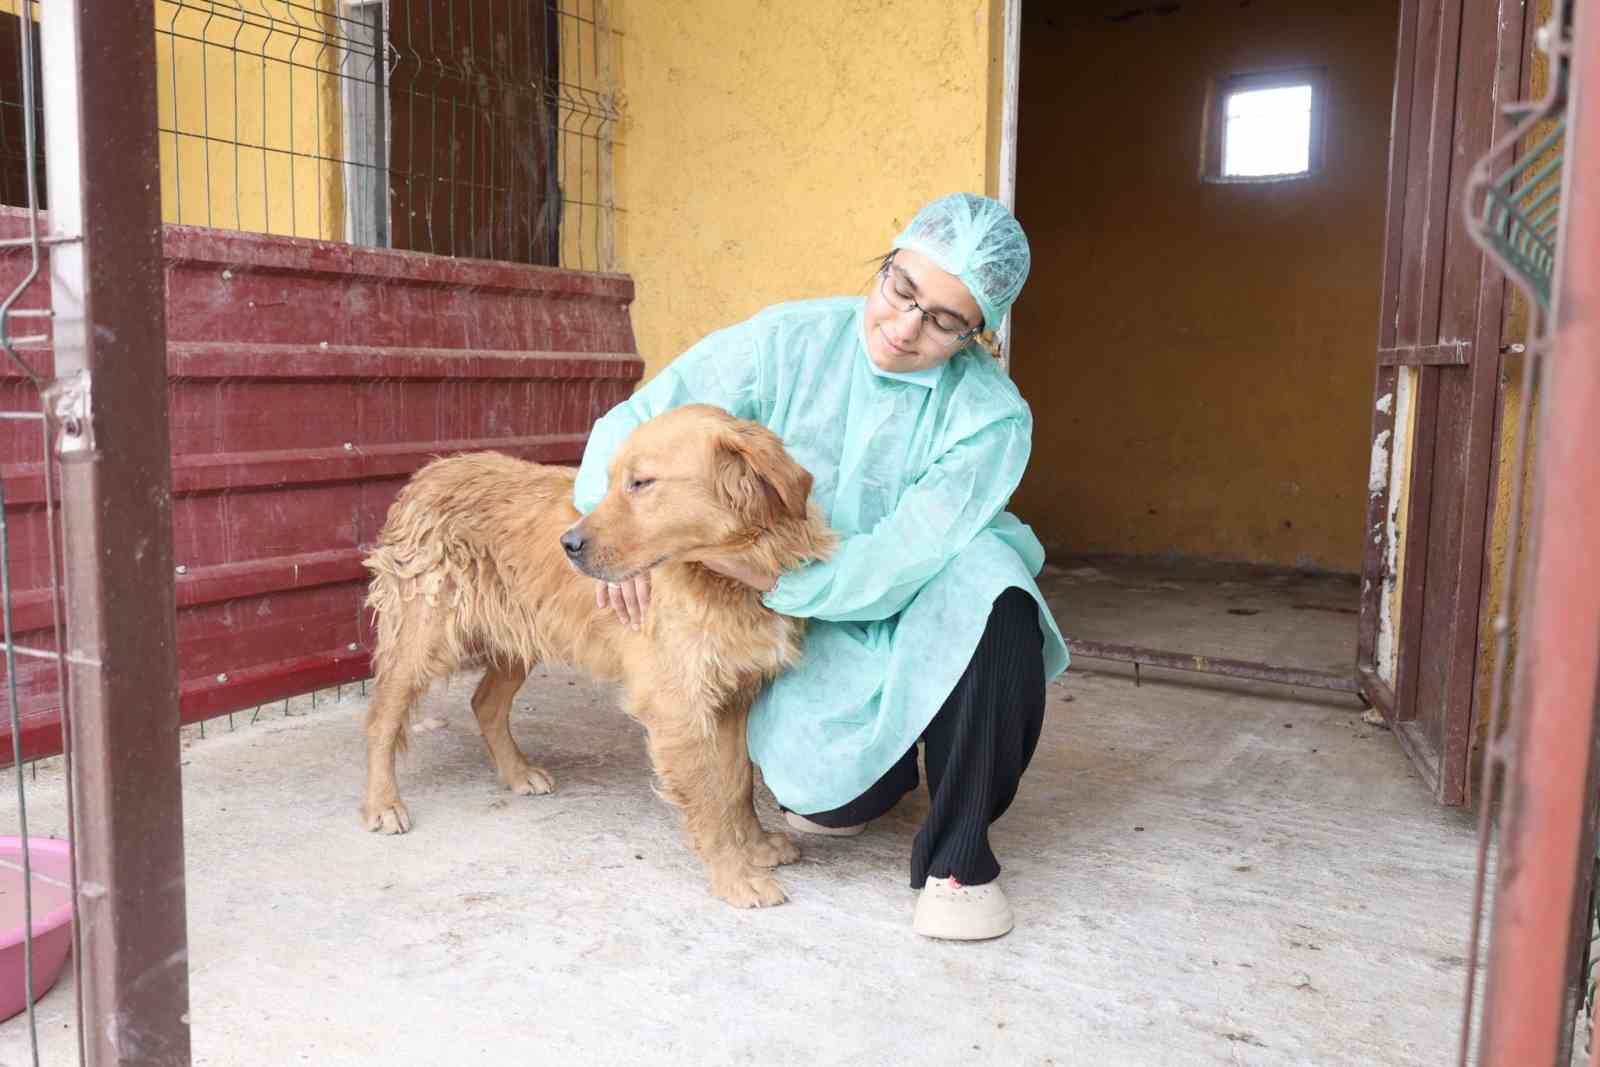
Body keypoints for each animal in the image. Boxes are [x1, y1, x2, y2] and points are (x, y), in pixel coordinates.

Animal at [361, 404, 832, 908]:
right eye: (611, 481)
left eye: (641, 483)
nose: (567, 545)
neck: (727, 576)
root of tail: (430, 472)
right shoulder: (680, 708)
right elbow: (709, 796)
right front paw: (735, 875)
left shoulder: (735, 694)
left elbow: (737, 781)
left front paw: (757, 846)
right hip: (422, 641)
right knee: (382, 719)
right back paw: (382, 803)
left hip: (521, 636)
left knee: (484, 703)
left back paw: (517, 772)